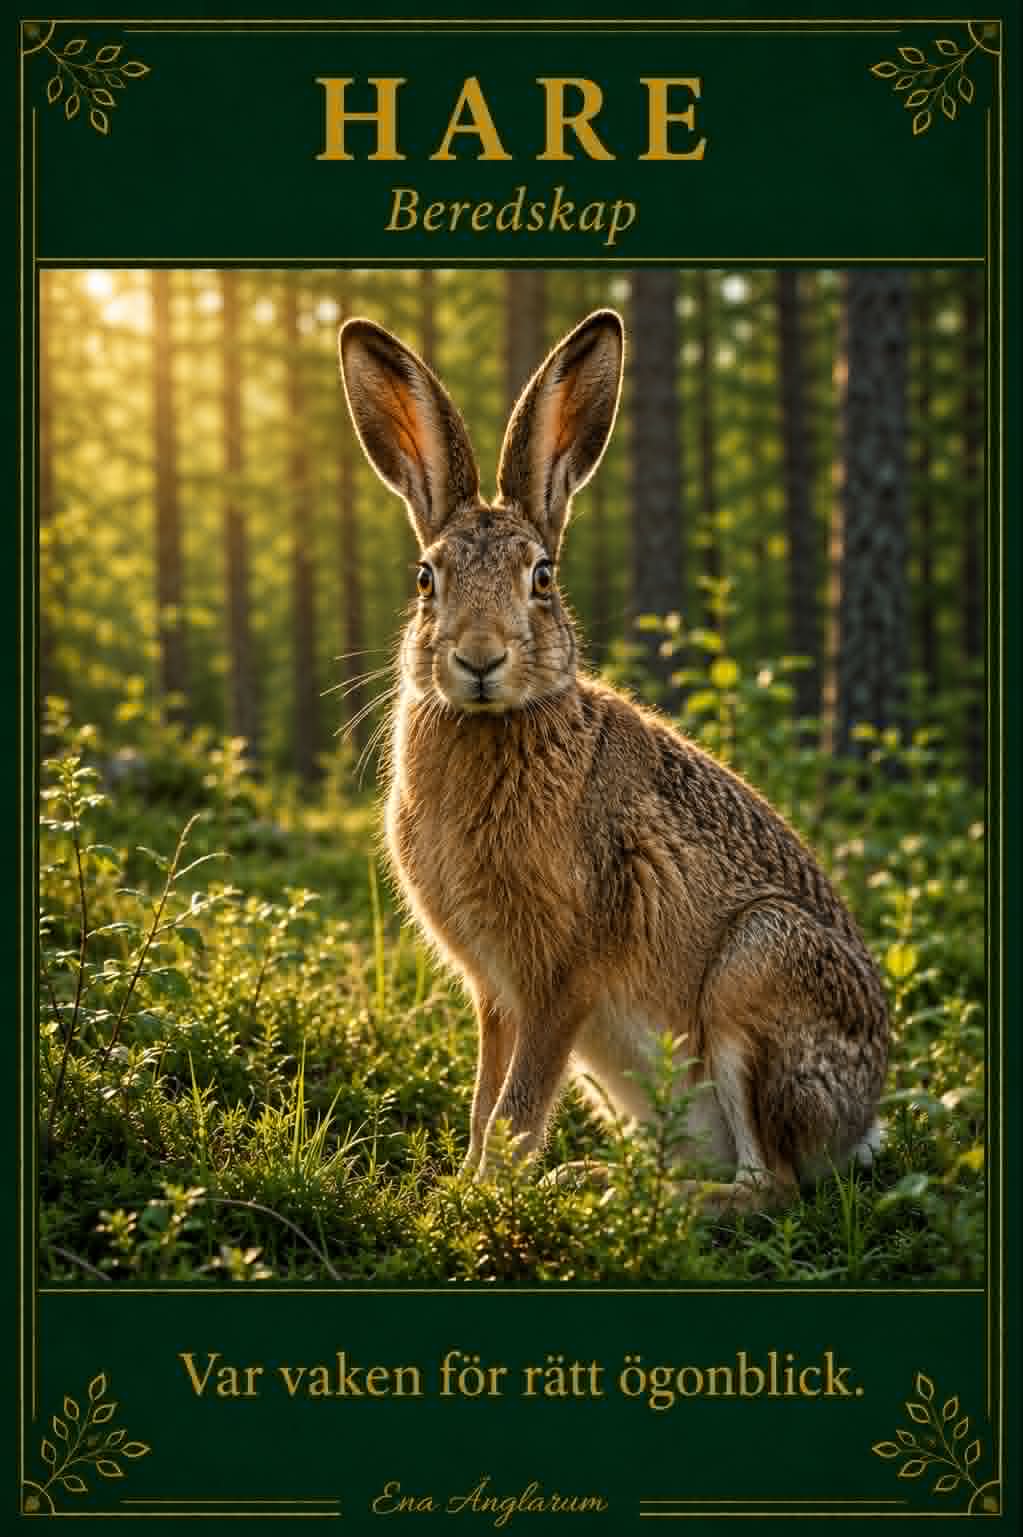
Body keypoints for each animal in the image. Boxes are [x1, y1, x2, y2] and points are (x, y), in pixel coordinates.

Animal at [337, 307, 889, 1211]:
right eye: (425, 578)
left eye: (541, 577)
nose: (479, 658)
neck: (496, 723)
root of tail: (860, 1118)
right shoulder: (495, 993)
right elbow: (487, 1100)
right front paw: (463, 1186)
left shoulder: (562, 976)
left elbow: (519, 1105)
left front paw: (480, 1198)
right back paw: (595, 1176)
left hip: (756, 974)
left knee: (769, 1183)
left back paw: (636, 1199)